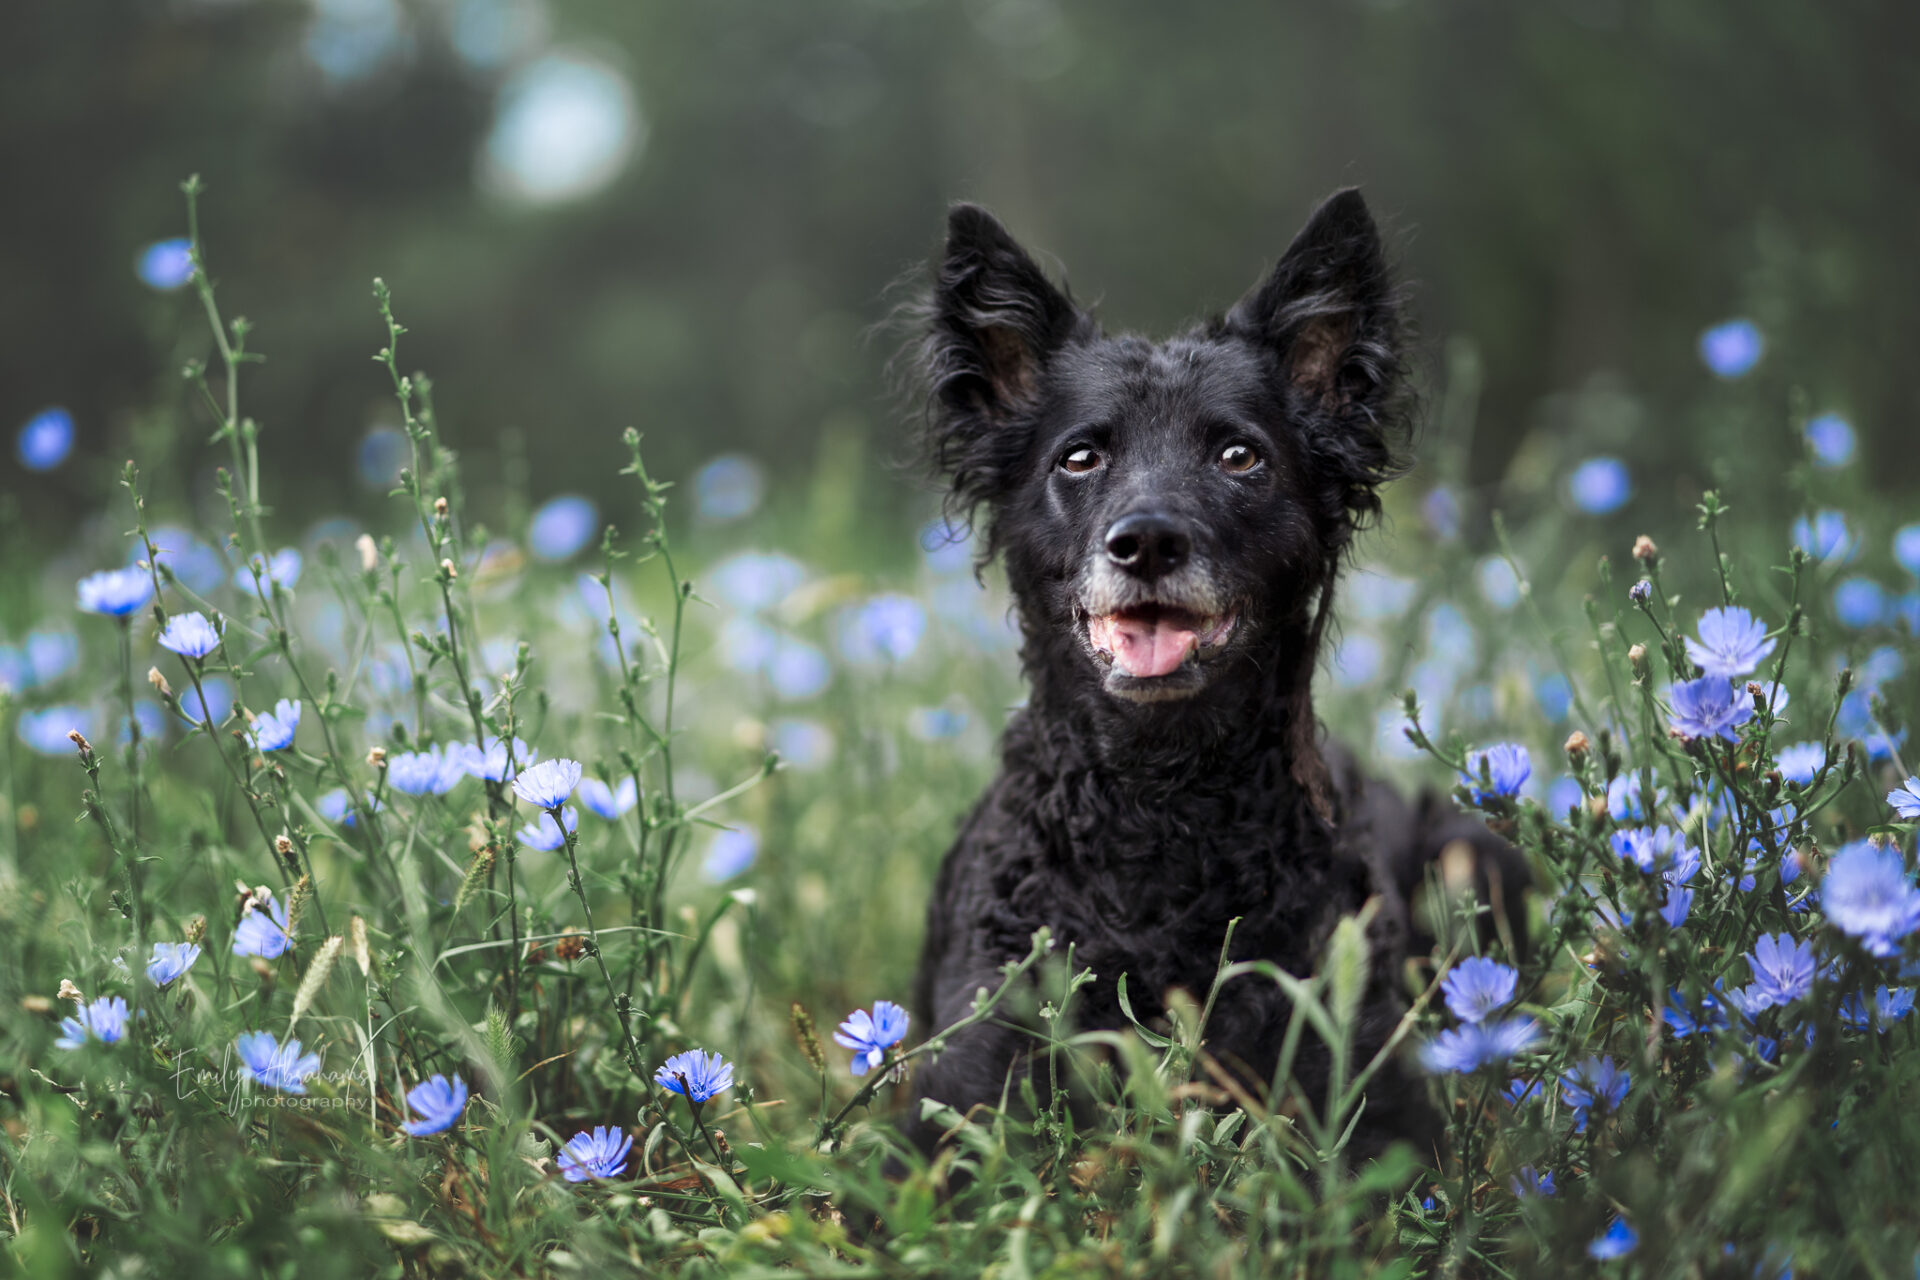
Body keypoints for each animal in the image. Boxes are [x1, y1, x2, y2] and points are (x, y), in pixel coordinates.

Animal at [898, 189, 1512, 1159]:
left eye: (1238, 455)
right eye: (1080, 457)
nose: (1147, 541)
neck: (1159, 808)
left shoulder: (1373, 1101)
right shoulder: (953, 1102)